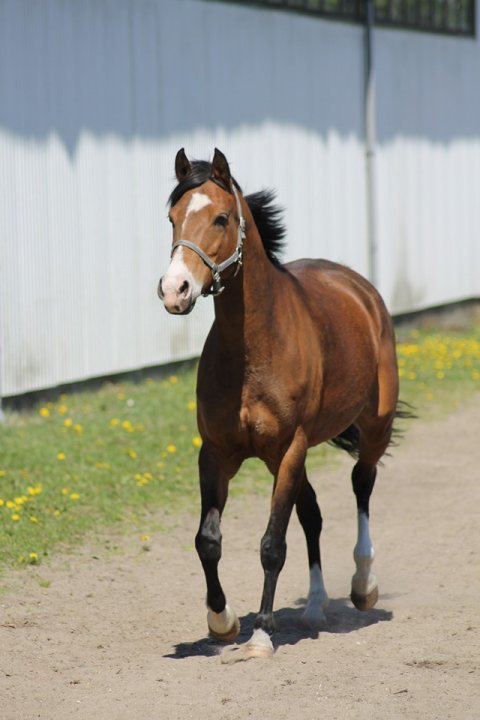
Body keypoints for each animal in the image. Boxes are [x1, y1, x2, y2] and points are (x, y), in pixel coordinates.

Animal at [158, 148, 405, 661]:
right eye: (171, 218)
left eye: (221, 217)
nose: (175, 290)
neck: (253, 348)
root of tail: (359, 288)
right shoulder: (217, 453)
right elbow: (208, 540)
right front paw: (223, 621)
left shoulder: (289, 448)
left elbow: (272, 544)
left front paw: (261, 635)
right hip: (291, 457)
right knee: (312, 514)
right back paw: (314, 606)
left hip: (372, 430)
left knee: (362, 485)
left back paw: (363, 585)